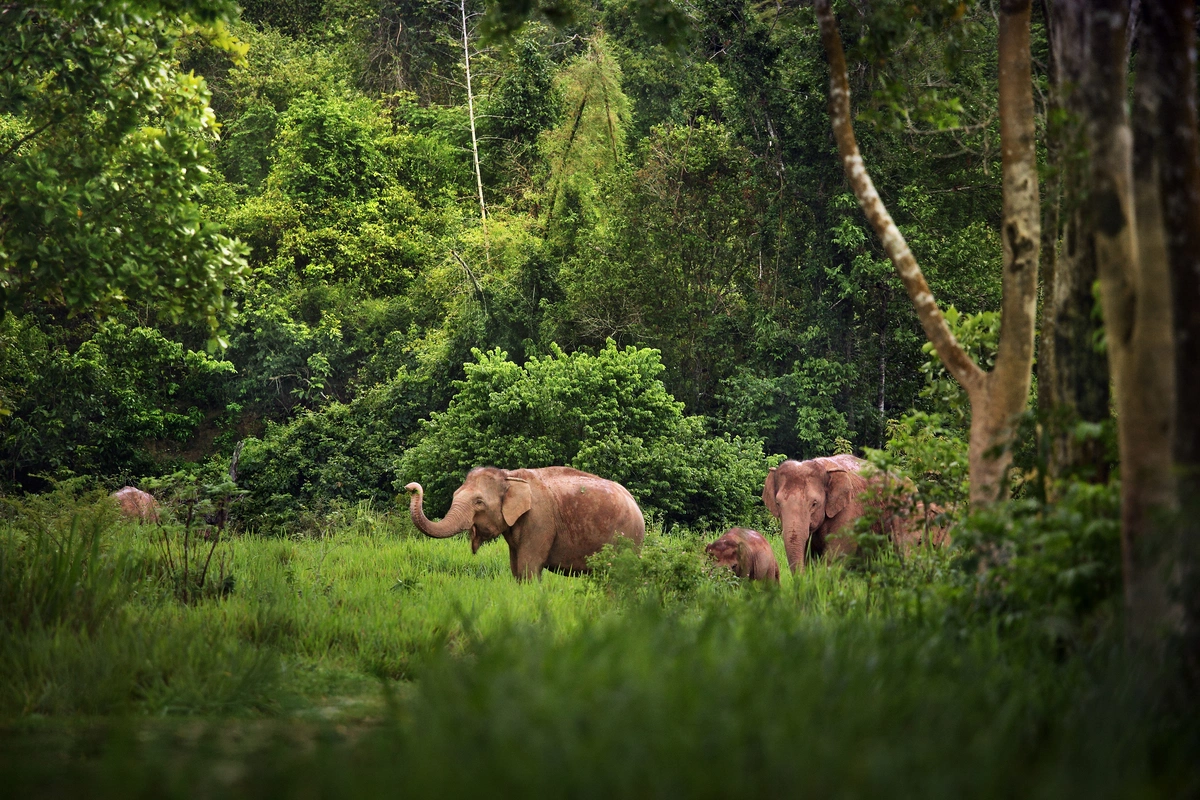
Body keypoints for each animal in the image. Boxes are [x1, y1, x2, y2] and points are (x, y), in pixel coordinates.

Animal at [405, 466, 646, 581]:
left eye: (479, 502)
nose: (410, 487)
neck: (510, 476)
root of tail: (634, 502)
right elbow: (516, 568)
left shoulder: (539, 520)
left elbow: (528, 567)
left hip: (626, 537)